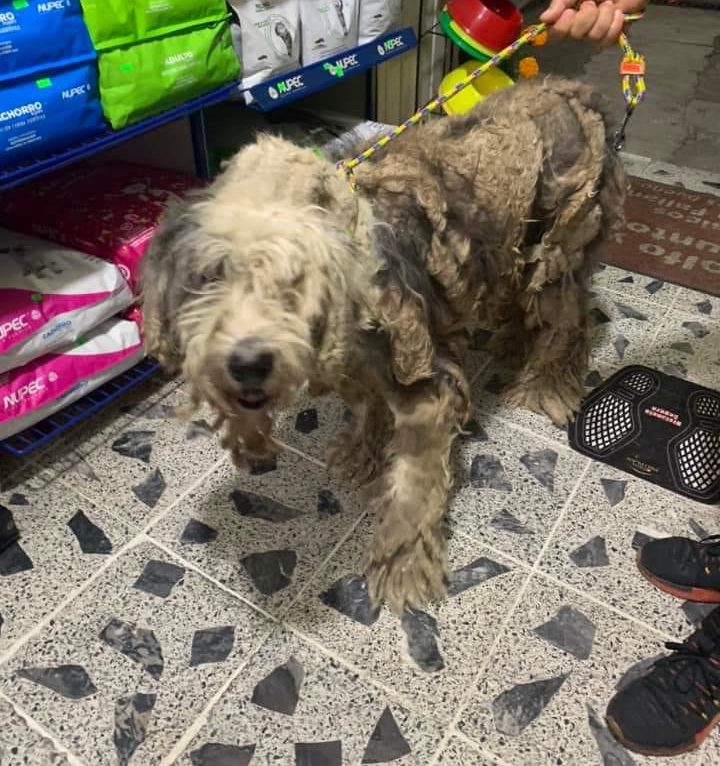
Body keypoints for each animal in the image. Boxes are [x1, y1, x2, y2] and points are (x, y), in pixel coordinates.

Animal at [141, 77, 625, 613]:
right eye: (211, 275)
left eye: (295, 279)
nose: (247, 363)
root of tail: (573, 89)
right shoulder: (362, 364)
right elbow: (368, 409)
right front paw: (362, 452)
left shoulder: (425, 387)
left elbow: (412, 488)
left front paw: (403, 567)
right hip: (509, 244)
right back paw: (512, 344)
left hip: (560, 243)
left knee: (572, 319)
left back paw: (547, 384)